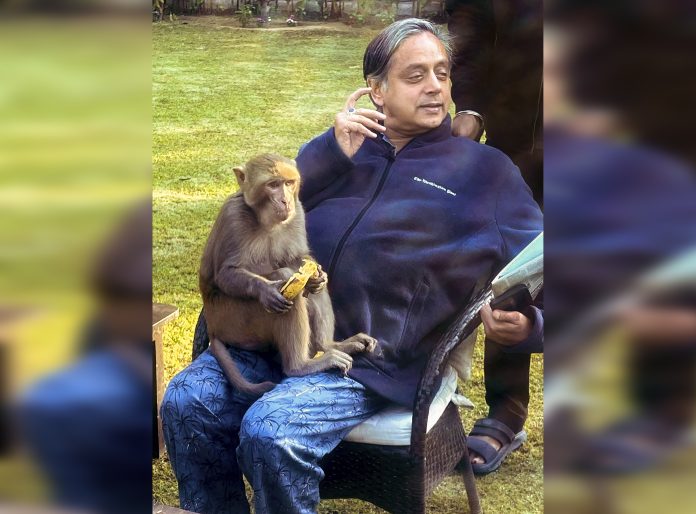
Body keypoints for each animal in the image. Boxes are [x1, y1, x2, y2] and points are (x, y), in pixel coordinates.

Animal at [199, 153, 378, 397]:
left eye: (289, 183)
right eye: (273, 185)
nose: (285, 201)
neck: (265, 221)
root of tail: (214, 327)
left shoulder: (298, 212)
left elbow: (299, 258)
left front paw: (318, 276)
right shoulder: (233, 217)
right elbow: (227, 275)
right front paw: (267, 290)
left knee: (308, 288)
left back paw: (329, 345)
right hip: (236, 323)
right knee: (287, 291)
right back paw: (299, 366)